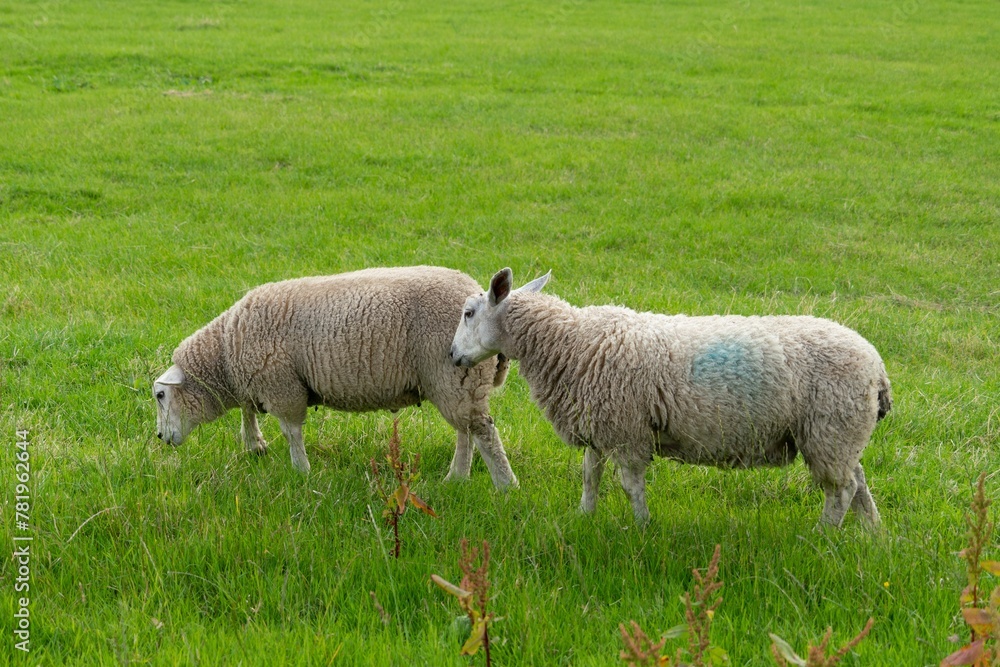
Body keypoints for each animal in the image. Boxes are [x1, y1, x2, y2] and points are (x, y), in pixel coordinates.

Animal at [153, 266, 517, 488]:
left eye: (160, 395)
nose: (159, 437)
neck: (227, 350)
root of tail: (479, 292)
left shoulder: (282, 386)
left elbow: (291, 432)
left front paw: (301, 471)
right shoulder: (258, 382)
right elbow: (248, 410)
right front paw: (255, 444)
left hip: (454, 375)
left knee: (482, 431)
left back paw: (504, 484)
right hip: (459, 381)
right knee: (466, 432)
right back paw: (457, 477)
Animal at [450, 268, 892, 526]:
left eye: (469, 313)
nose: (451, 356)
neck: (571, 341)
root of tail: (877, 366)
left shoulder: (627, 431)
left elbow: (630, 485)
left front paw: (642, 527)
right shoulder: (600, 423)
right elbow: (590, 474)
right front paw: (584, 517)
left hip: (830, 429)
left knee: (841, 491)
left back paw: (822, 536)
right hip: (840, 434)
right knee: (858, 484)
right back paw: (873, 535)